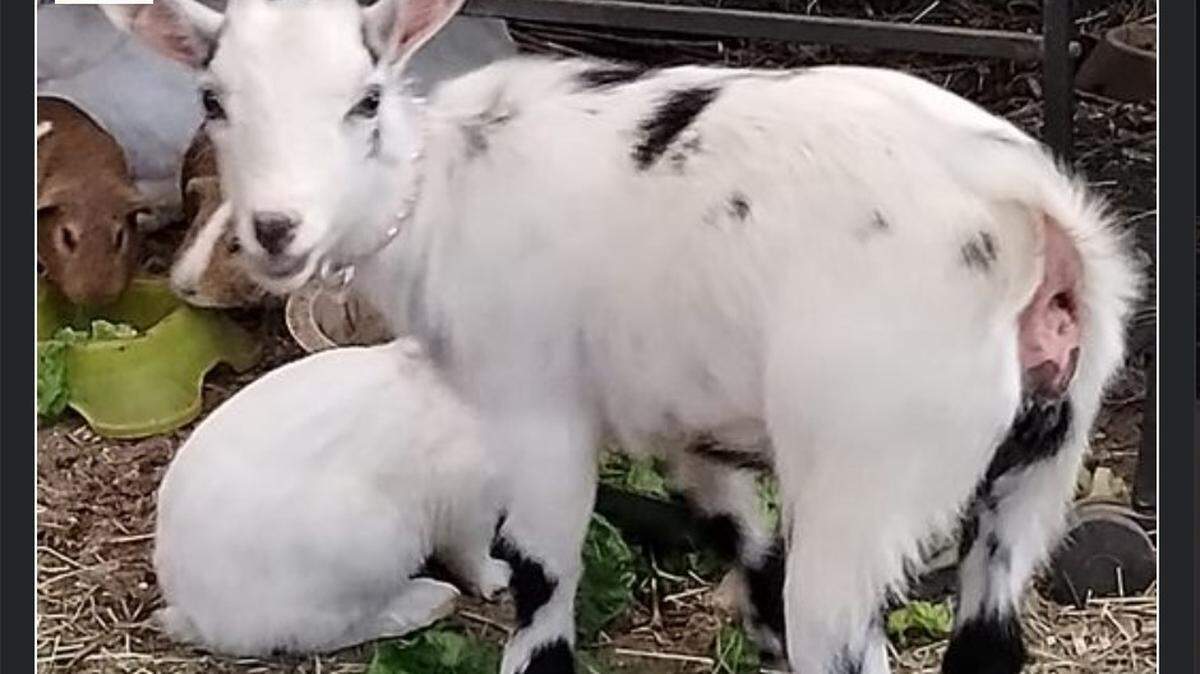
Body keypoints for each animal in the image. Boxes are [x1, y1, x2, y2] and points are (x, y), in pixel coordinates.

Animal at [108, 1, 1142, 672]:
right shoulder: (679, 417)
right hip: (1037, 462)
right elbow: (738, 537)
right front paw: (753, 628)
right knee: (987, 638)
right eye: (213, 100)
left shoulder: (534, 409)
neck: (439, 192)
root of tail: (1028, 212)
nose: (275, 229)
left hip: (871, 463)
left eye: (366, 98)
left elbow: (539, 574)